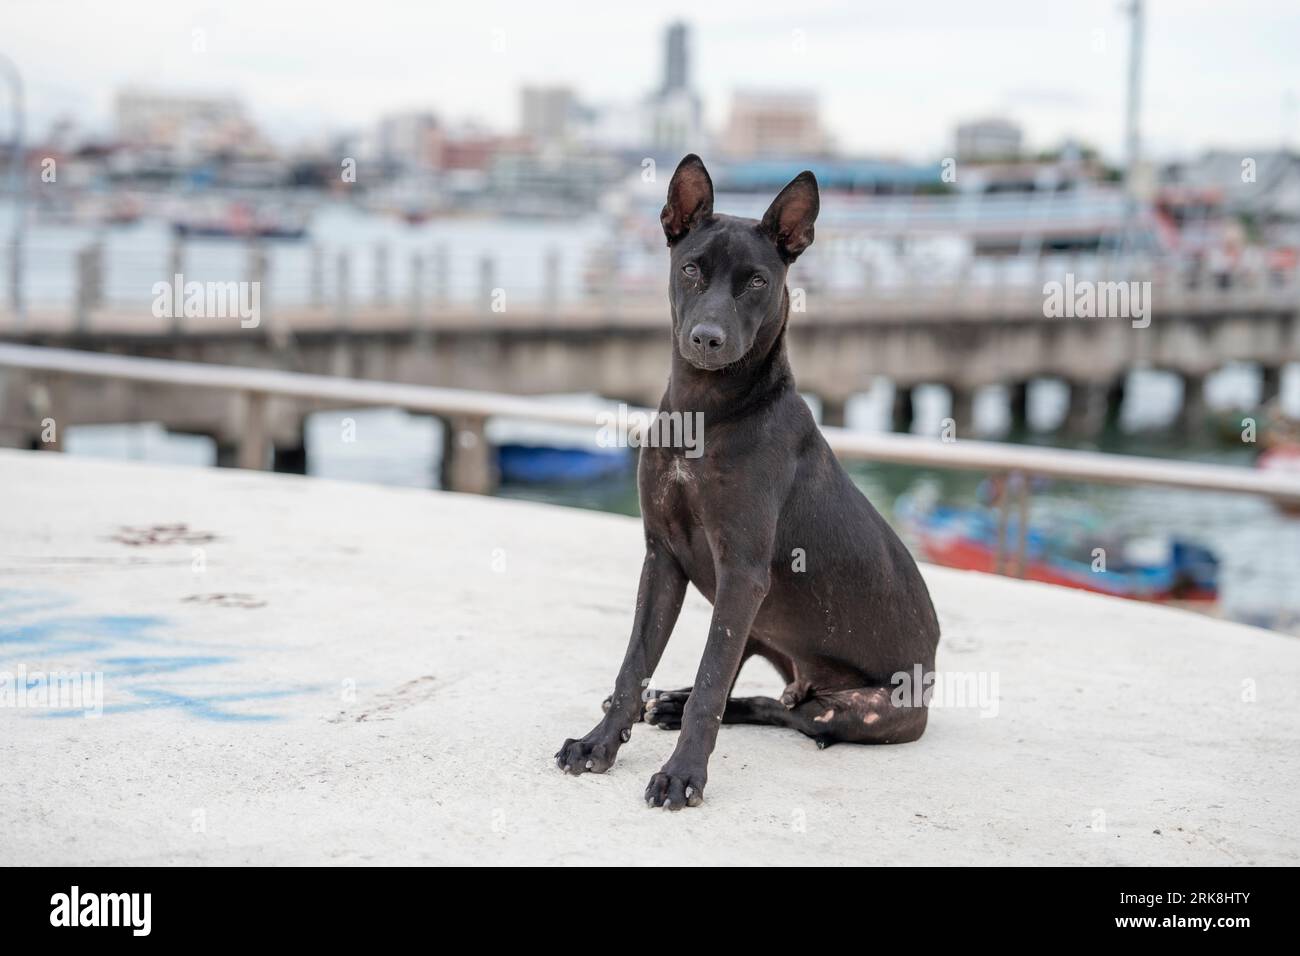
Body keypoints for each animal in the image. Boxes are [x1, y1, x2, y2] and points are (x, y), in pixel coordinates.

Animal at [553, 155, 941, 806]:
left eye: (758, 281)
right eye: (690, 268)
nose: (707, 338)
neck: (707, 413)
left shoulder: (741, 572)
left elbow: (711, 683)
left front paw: (683, 775)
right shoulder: (663, 559)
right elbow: (634, 666)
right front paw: (598, 743)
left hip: (856, 704)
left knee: (788, 710)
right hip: (756, 624)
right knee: (755, 689)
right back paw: (668, 701)